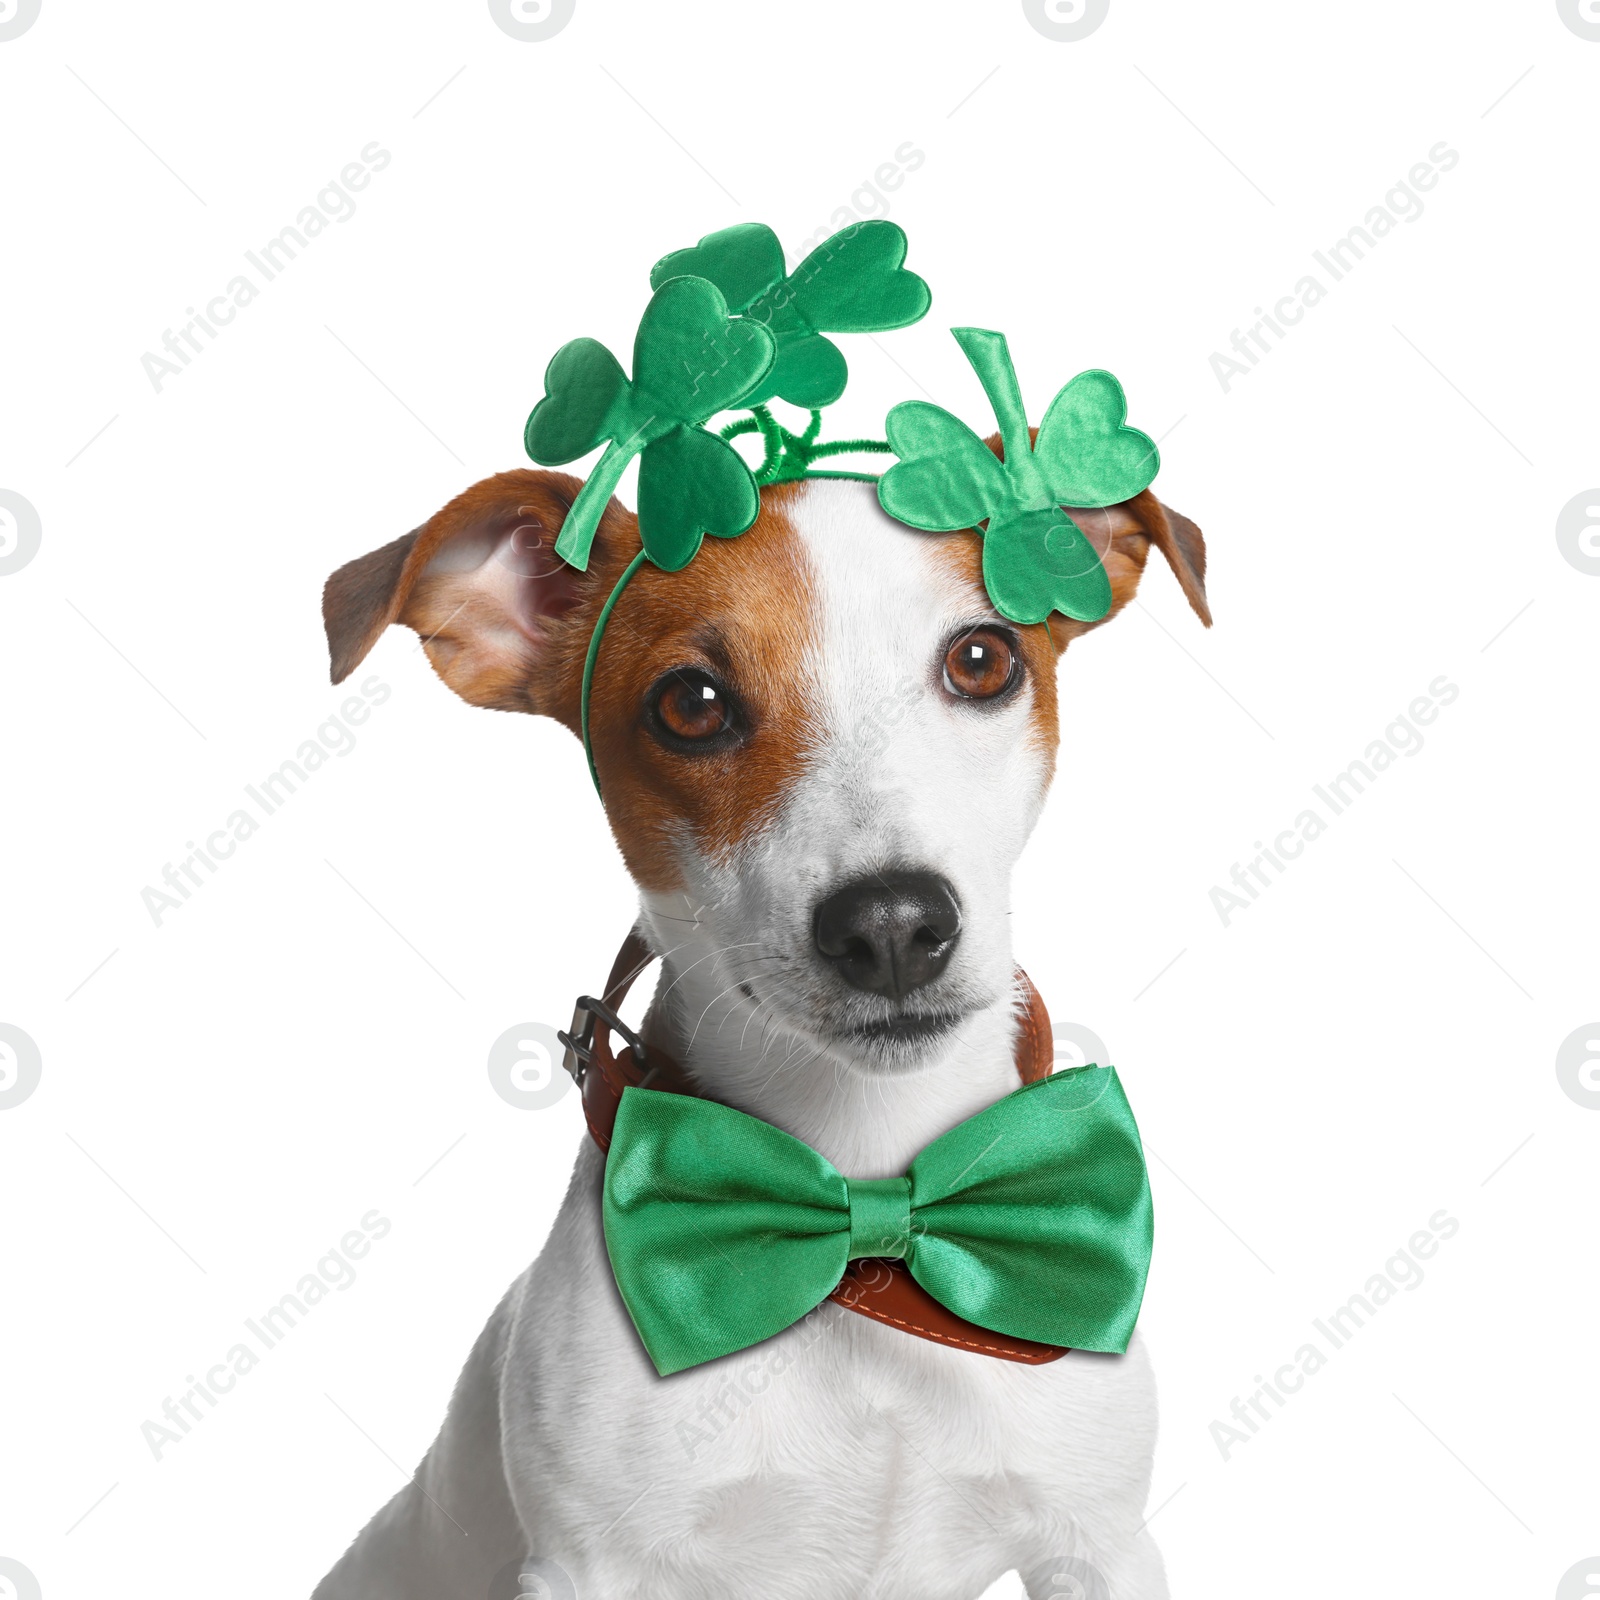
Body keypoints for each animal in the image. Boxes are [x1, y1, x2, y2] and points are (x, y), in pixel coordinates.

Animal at [315, 454, 1209, 1600]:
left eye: (981, 658)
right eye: (691, 704)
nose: (891, 923)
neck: (861, 1198)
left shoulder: (1099, 1542)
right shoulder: (591, 1567)